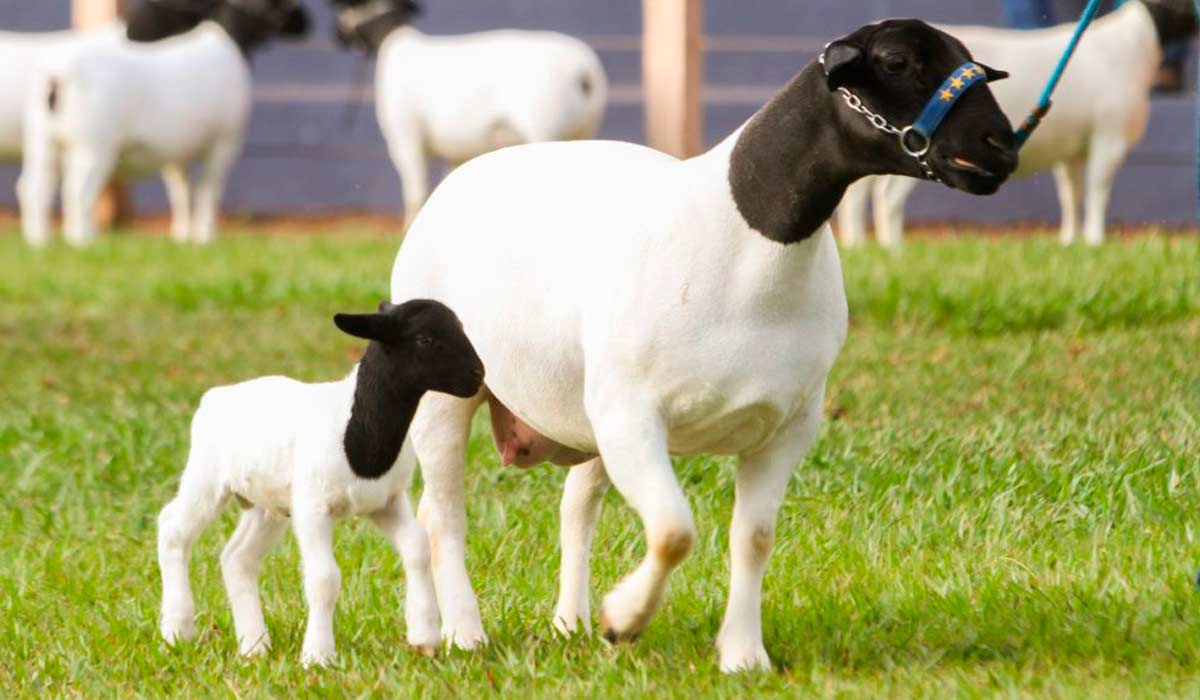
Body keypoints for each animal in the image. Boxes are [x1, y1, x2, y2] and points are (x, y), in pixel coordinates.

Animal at [157, 298, 484, 667]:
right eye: (425, 339)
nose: (478, 375)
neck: (358, 431)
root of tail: (214, 397)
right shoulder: (312, 506)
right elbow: (325, 577)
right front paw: (318, 655)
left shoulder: (387, 501)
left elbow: (417, 547)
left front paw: (424, 636)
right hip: (206, 477)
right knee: (172, 529)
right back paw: (177, 630)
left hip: (266, 505)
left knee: (237, 558)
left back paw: (254, 645)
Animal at [333, 0, 604, 223]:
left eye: (350, 6)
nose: (336, 36)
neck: (392, 41)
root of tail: (584, 70)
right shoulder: (455, 152)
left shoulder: (406, 137)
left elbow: (415, 191)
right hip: (584, 131)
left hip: (543, 128)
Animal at [388, 19, 1017, 672]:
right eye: (896, 61)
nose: (1000, 144)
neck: (744, 235)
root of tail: (470, 172)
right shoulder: (634, 416)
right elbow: (673, 531)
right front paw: (624, 620)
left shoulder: (788, 425)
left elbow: (753, 538)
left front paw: (742, 654)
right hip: (448, 392)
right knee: (444, 514)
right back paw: (464, 633)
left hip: (587, 409)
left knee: (574, 507)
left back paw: (568, 622)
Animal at [840, 0, 1195, 249]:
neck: (1131, 44)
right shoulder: (1109, 139)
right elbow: (1098, 191)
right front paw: (1096, 240)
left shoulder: (1071, 151)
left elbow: (1071, 193)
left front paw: (1070, 240)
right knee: (888, 196)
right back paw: (893, 246)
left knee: (861, 192)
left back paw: (861, 242)